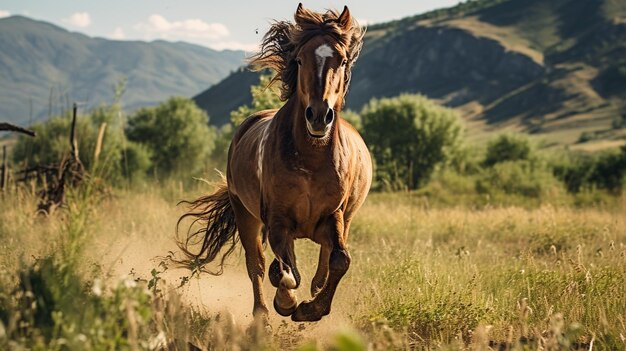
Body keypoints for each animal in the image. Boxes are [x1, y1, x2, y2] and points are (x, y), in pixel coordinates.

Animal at [177, 2, 370, 324]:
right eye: (300, 60)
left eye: (342, 61)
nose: (319, 116)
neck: (311, 159)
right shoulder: (277, 219)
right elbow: (284, 270)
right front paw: (287, 301)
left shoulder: (335, 215)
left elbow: (340, 260)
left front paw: (311, 309)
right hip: (245, 213)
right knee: (256, 262)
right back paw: (262, 315)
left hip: (346, 218)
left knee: (323, 259)